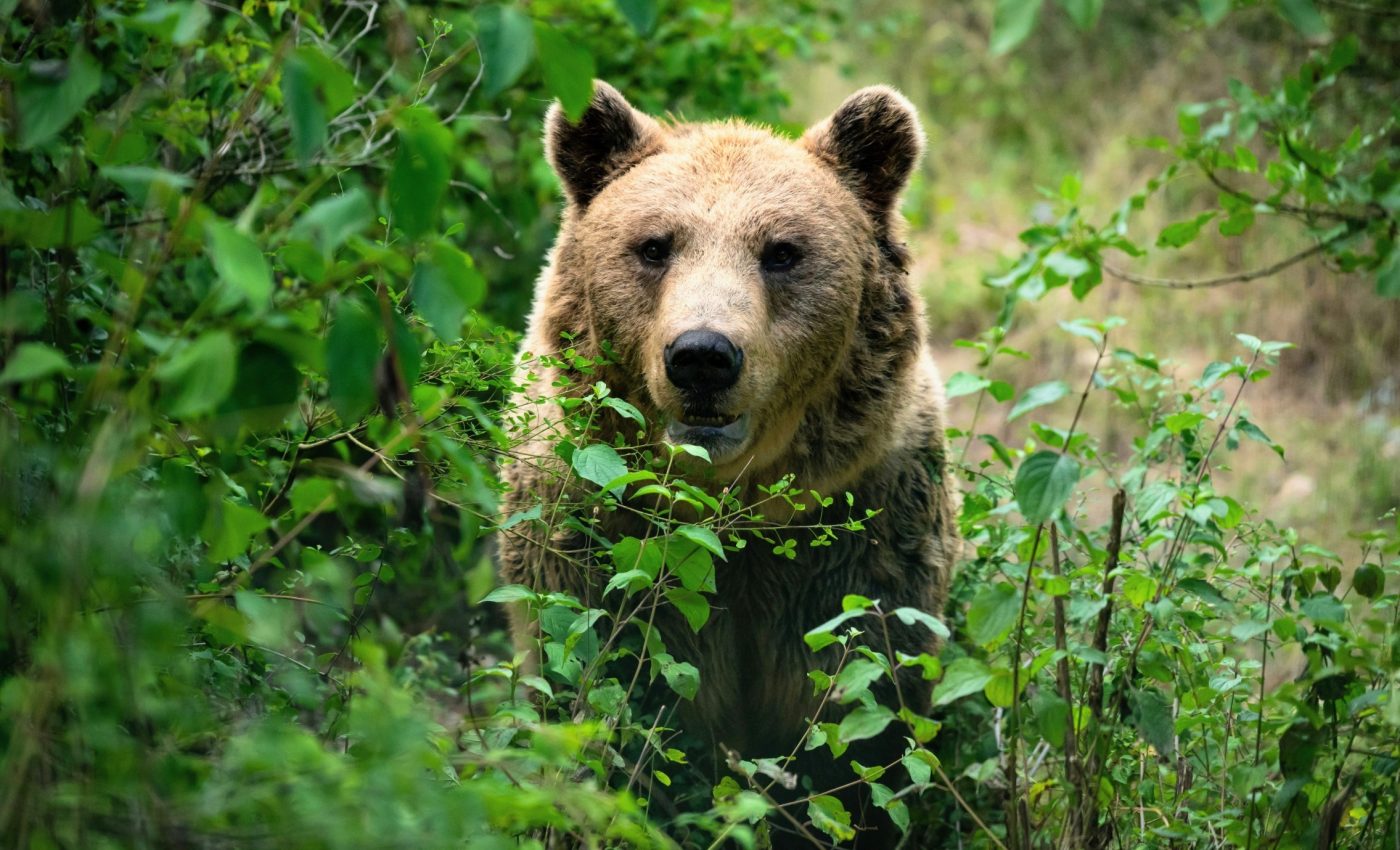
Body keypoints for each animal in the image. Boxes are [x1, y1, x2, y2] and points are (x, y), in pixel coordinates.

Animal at [496, 81, 958, 849]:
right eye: (654, 245)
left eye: (782, 251)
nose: (703, 356)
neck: (733, 504)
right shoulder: (600, 533)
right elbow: (617, 693)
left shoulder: (858, 532)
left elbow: (856, 718)